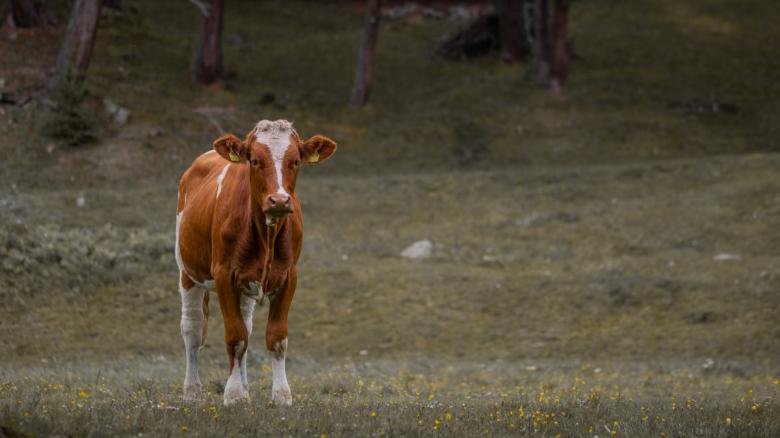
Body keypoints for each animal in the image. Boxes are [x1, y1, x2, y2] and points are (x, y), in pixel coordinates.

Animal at [175, 120, 336, 408]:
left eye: (295, 161)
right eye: (255, 160)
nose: (279, 200)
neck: (266, 236)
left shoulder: (288, 277)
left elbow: (276, 337)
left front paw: (281, 394)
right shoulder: (224, 275)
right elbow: (235, 336)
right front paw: (233, 394)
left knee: (246, 326)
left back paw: (246, 386)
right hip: (188, 272)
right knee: (192, 330)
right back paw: (192, 391)